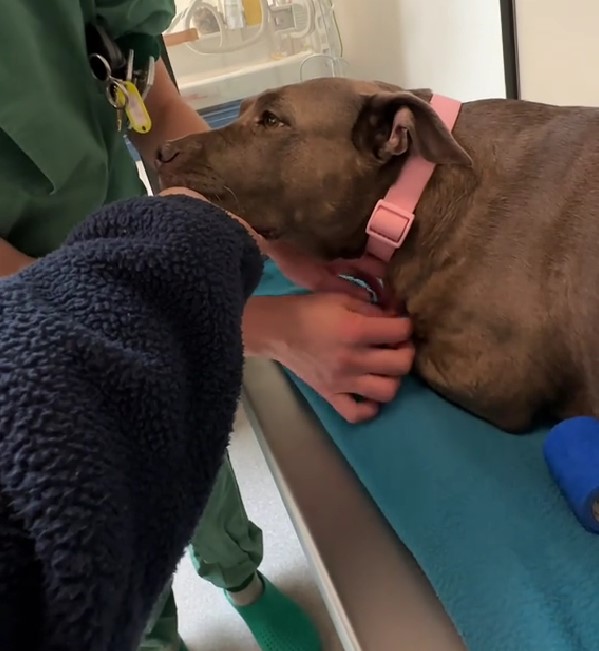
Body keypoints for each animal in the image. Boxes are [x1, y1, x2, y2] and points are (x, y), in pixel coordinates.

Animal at [155, 77, 599, 432]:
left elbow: (412, 349)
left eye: (272, 120)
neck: (412, 194)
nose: (161, 152)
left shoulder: (488, 376)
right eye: (243, 110)